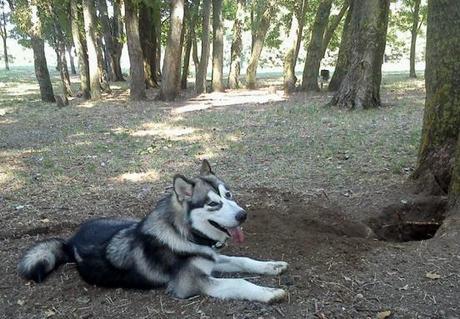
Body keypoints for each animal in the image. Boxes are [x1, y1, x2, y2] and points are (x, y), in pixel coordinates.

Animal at [20, 161, 292, 304]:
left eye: (229, 195)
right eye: (213, 204)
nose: (243, 215)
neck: (184, 234)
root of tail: (70, 240)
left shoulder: (211, 259)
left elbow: (242, 260)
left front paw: (272, 266)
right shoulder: (192, 283)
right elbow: (240, 282)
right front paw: (269, 292)